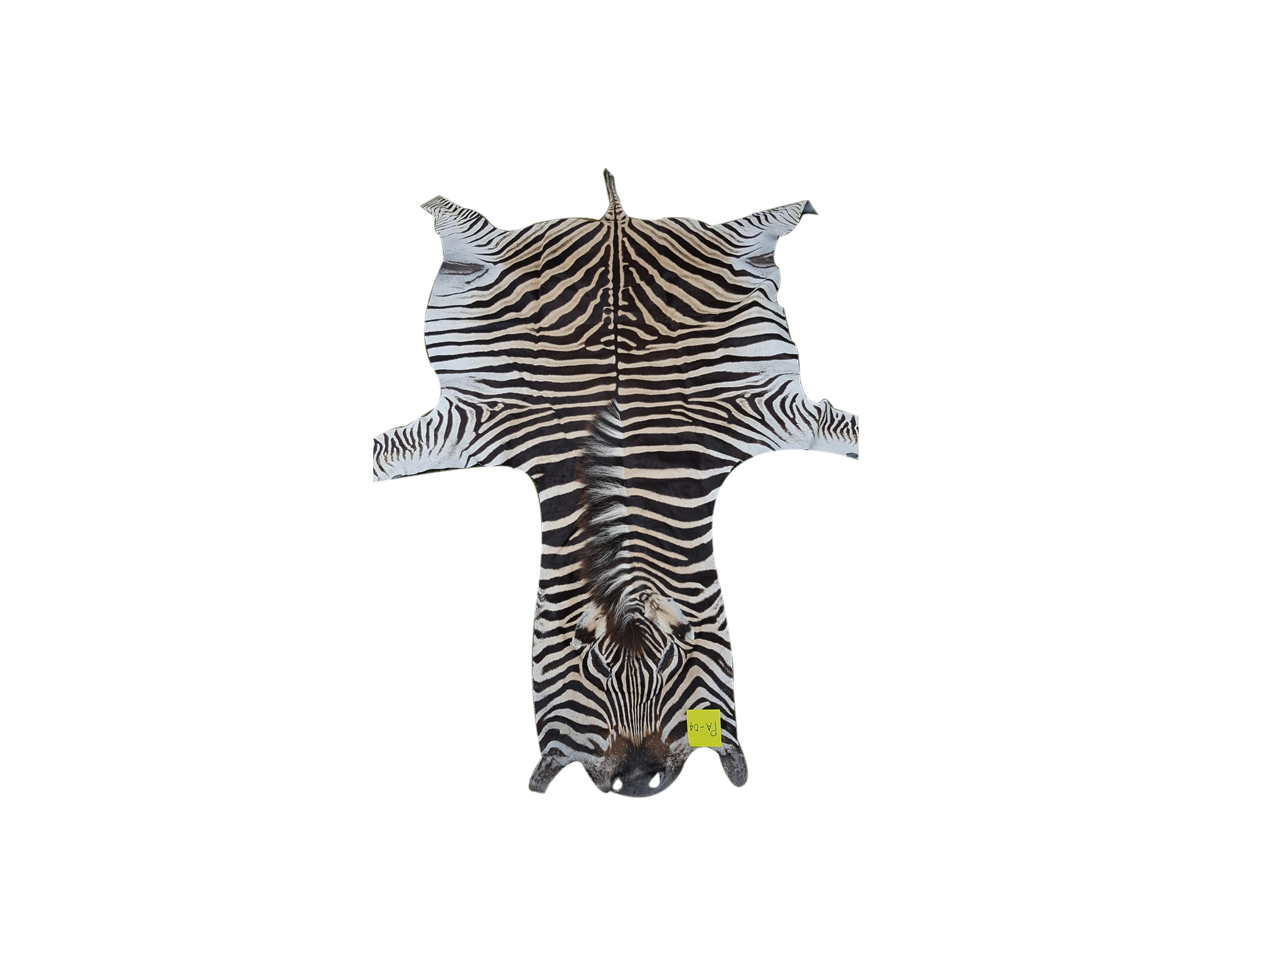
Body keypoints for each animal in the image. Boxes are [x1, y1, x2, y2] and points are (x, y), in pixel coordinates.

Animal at [372, 170, 859, 796]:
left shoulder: (764, 412)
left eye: (674, 664)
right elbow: (388, 452)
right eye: (592, 671)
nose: (636, 781)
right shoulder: (474, 420)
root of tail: (615, 218)